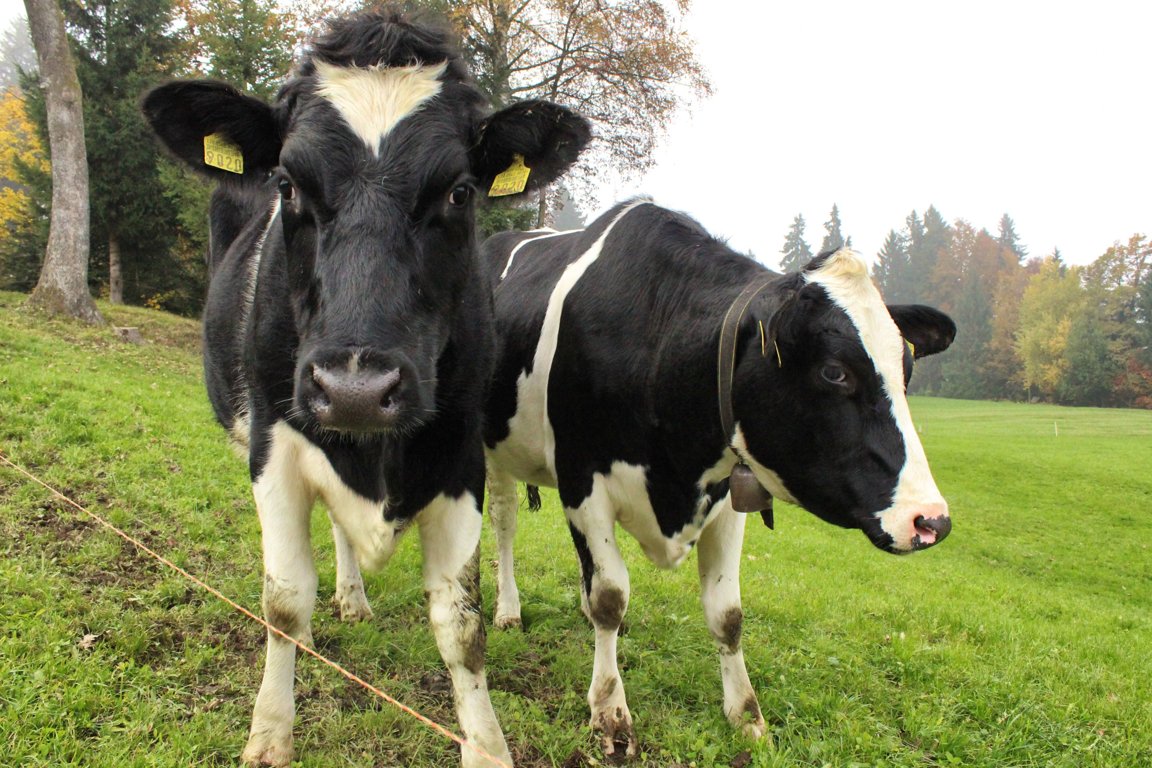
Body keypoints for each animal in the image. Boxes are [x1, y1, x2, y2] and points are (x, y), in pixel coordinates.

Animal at [144, 12, 589, 768]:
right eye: (288, 184)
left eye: (459, 191)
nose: (356, 388)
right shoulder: (274, 443)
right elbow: (284, 598)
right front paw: (269, 734)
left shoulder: (460, 455)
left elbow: (460, 623)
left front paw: (486, 744)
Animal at [476, 200, 953, 755]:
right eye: (835, 372)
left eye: (907, 371)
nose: (931, 521)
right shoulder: (583, 482)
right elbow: (611, 595)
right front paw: (610, 711)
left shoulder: (728, 497)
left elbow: (727, 614)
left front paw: (746, 713)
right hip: (491, 449)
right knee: (505, 523)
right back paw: (509, 608)